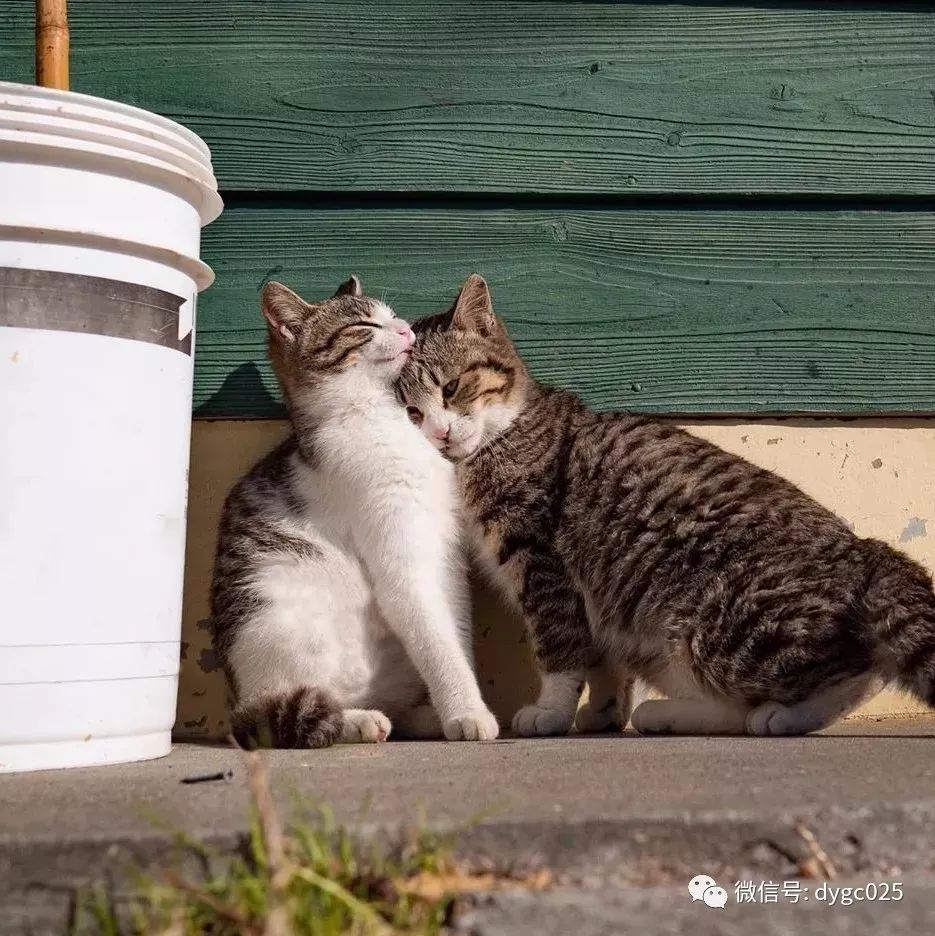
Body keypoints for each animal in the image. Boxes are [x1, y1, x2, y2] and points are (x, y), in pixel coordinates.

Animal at [209, 276, 500, 744]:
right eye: (363, 325)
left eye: (392, 314)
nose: (405, 329)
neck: (379, 417)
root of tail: (237, 699)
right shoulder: (402, 561)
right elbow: (436, 640)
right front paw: (467, 712)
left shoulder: (446, 553)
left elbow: (454, 633)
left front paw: (460, 707)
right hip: (278, 631)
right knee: (294, 712)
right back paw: (357, 720)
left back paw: (418, 718)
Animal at [398, 274, 935, 736]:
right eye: (410, 413)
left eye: (451, 387)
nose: (439, 433)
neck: (502, 434)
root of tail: (866, 553)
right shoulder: (587, 594)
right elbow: (601, 657)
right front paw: (604, 710)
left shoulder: (542, 562)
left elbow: (560, 646)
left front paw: (551, 711)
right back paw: (666, 714)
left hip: (719, 629)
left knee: (854, 676)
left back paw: (777, 716)